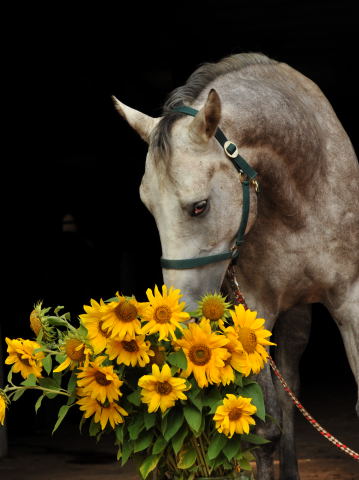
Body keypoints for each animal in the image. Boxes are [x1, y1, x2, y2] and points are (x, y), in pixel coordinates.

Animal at [113, 52, 359, 480]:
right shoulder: (255, 307)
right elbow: (263, 430)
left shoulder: (350, 301)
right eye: (148, 207)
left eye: (199, 206)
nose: (177, 315)